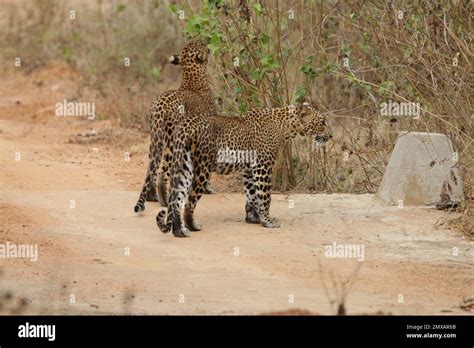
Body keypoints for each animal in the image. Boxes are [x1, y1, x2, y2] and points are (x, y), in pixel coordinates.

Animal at [132, 37, 216, 212]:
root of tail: (160, 104)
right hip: (172, 138)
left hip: (156, 138)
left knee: (153, 167)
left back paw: (153, 197)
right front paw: (208, 188)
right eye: (202, 44)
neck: (192, 77)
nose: (208, 43)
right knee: (163, 170)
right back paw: (165, 199)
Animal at [156, 101, 330, 237]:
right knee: (189, 201)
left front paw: (254, 218)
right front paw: (267, 221)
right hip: (202, 168)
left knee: (177, 198)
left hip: (184, 165)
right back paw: (192, 225)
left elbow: (252, 195)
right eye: (322, 122)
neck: (285, 126)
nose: (331, 136)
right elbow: (265, 196)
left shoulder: (249, 170)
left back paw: (179, 231)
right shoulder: (263, 166)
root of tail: (187, 123)